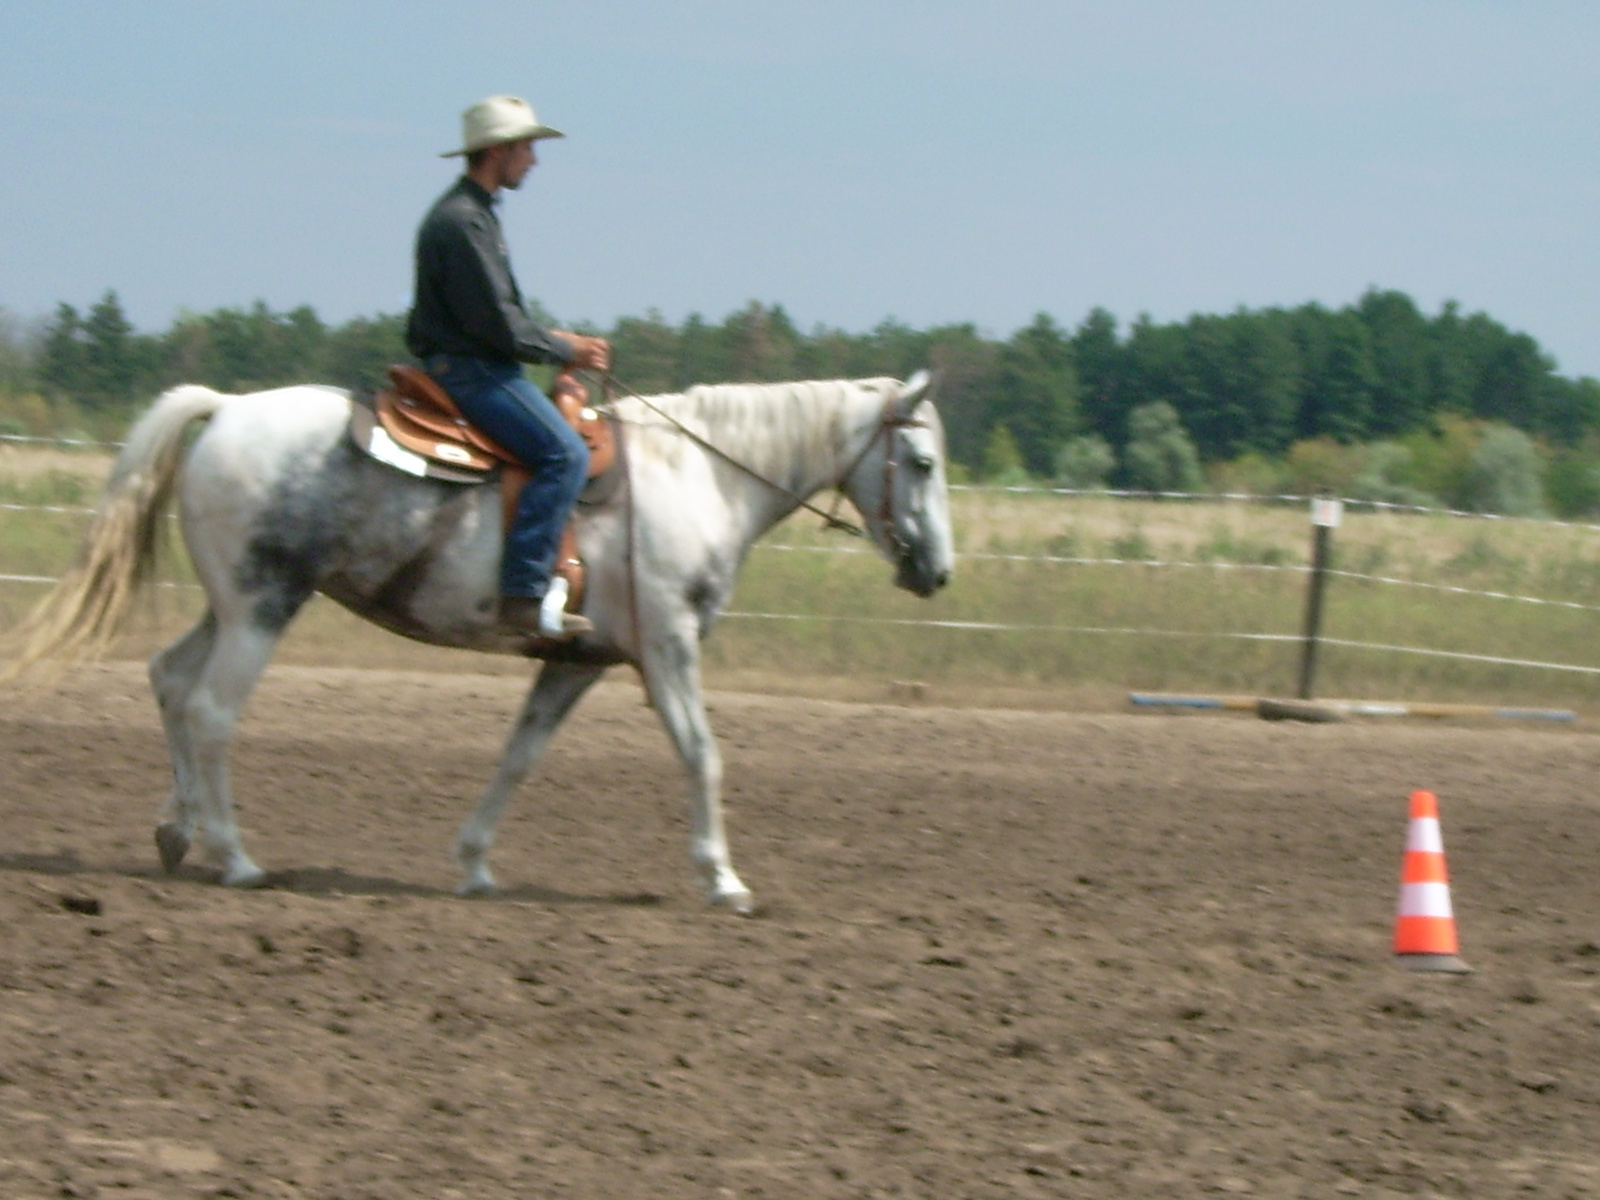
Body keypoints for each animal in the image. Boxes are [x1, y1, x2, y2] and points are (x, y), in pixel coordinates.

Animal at [9, 374, 947, 908]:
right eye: (924, 463)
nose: (937, 570)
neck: (699, 476)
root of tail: (228, 409)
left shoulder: (577, 661)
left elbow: (518, 758)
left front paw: (473, 865)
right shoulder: (669, 648)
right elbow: (702, 753)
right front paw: (721, 876)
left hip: (236, 604)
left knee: (170, 679)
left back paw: (178, 833)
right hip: (262, 606)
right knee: (208, 711)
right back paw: (236, 857)